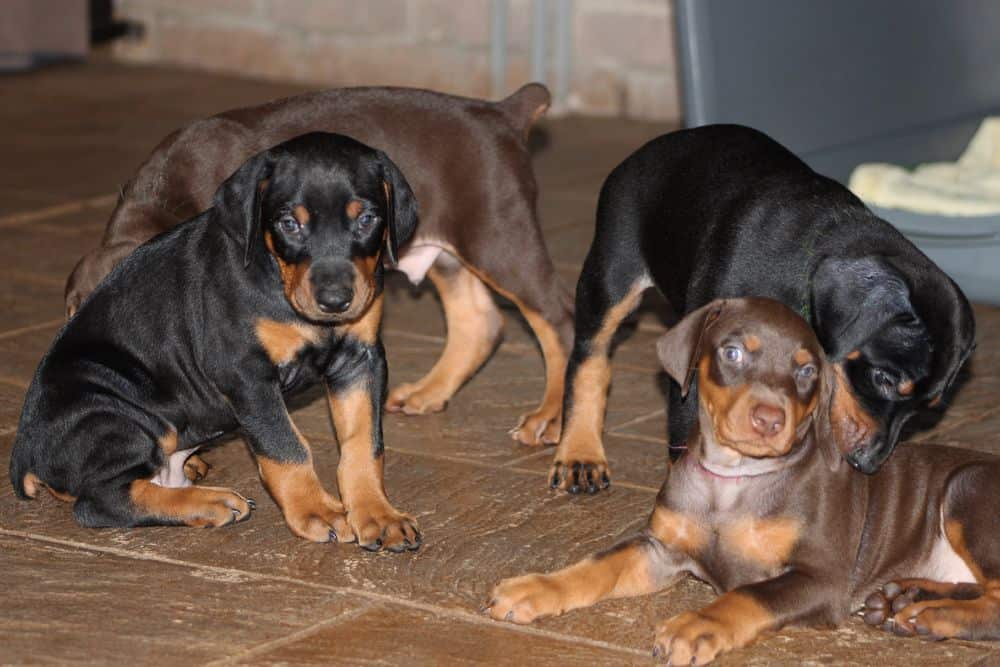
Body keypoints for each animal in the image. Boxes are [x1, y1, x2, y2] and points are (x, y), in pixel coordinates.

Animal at [12, 132, 426, 552]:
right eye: (289, 224)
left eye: (367, 219)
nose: (336, 300)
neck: (276, 276)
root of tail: (25, 456)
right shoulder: (245, 372)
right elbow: (286, 446)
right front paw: (316, 511)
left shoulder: (360, 360)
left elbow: (364, 444)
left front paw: (377, 514)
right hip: (110, 405)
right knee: (99, 501)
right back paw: (211, 502)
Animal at [64, 85, 572, 448]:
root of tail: (502, 114)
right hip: (446, 250)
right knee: (480, 321)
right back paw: (429, 392)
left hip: (498, 233)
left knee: (557, 316)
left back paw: (551, 418)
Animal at [490, 300, 1000, 664]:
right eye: (732, 353)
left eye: (806, 370)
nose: (769, 420)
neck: (734, 479)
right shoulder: (661, 549)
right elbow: (599, 563)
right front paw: (535, 589)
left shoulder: (820, 577)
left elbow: (749, 594)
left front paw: (696, 625)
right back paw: (903, 598)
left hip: (967, 489)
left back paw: (932, 614)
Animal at [552, 125, 972, 494]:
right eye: (883, 378)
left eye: (928, 408)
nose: (867, 465)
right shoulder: (698, 374)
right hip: (610, 277)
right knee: (589, 358)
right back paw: (579, 453)